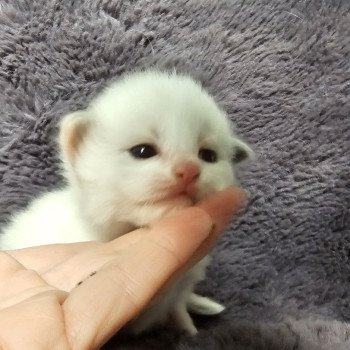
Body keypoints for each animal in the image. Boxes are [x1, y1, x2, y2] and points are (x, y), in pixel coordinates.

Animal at [0, 69, 252, 334]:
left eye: (207, 156)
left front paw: (190, 332)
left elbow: (179, 309)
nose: (189, 170)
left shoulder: (180, 287)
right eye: (142, 151)